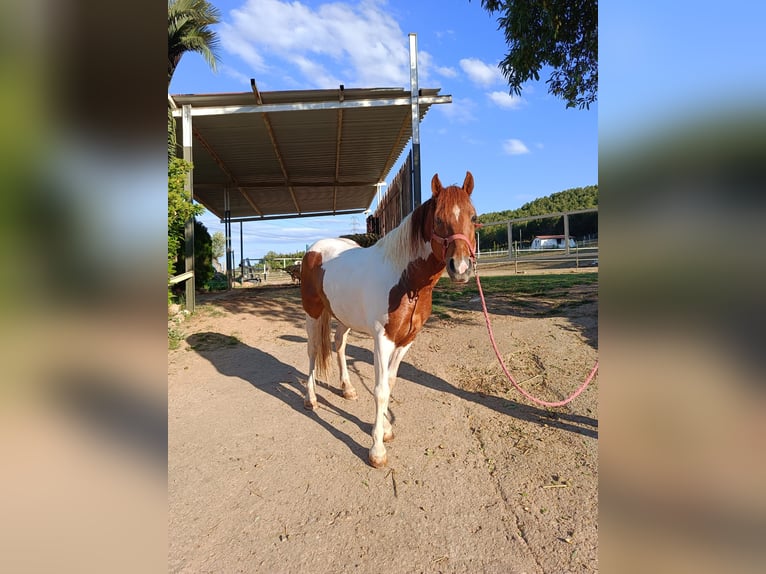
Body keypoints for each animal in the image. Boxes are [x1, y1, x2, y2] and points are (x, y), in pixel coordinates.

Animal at [302, 171, 476, 468]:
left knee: (339, 345)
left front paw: (385, 429)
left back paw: (347, 389)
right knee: (313, 351)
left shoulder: (406, 340)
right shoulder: (382, 340)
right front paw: (377, 450)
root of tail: (314, 249)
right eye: (438, 219)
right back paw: (311, 399)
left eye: (473, 217)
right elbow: (381, 389)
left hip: (344, 317)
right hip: (313, 313)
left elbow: (391, 382)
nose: (461, 267)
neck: (405, 281)